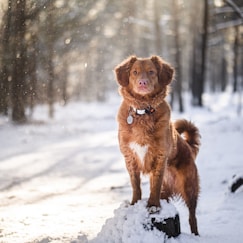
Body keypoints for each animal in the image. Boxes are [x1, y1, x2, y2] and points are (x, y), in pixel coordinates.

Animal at [115, 55, 200, 235]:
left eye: (151, 72)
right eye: (134, 72)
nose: (142, 83)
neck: (142, 110)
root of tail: (188, 148)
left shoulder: (160, 156)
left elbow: (155, 184)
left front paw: (153, 206)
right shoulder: (129, 157)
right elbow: (136, 185)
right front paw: (134, 203)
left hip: (190, 187)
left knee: (192, 216)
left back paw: (196, 234)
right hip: (167, 192)